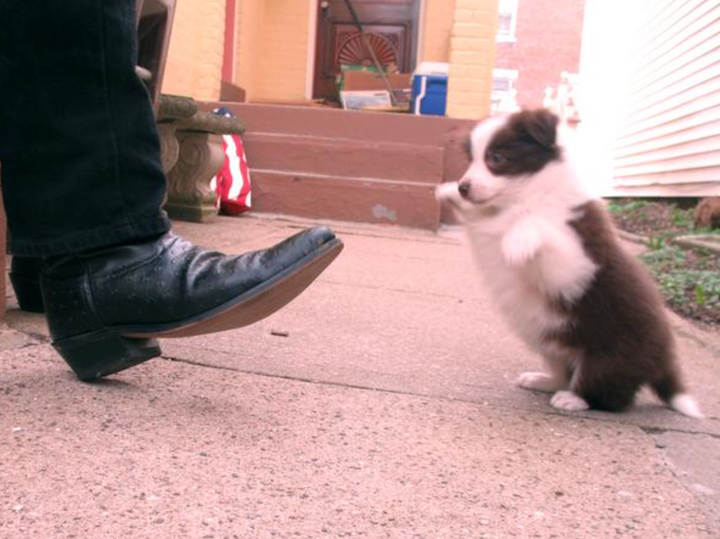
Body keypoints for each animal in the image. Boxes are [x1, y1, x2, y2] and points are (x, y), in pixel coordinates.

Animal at [436, 106, 700, 418]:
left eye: (496, 158)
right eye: (471, 159)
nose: (463, 187)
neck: (524, 197)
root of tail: (661, 360)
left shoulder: (577, 266)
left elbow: (539, 227)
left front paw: (517, 241)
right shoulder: (487, 222)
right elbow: (480, 215)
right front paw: (447, 191)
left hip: (609, 356)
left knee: (612, 395)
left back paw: (574, 399)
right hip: (551, 344)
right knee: (564, 372)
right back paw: (542, 380)